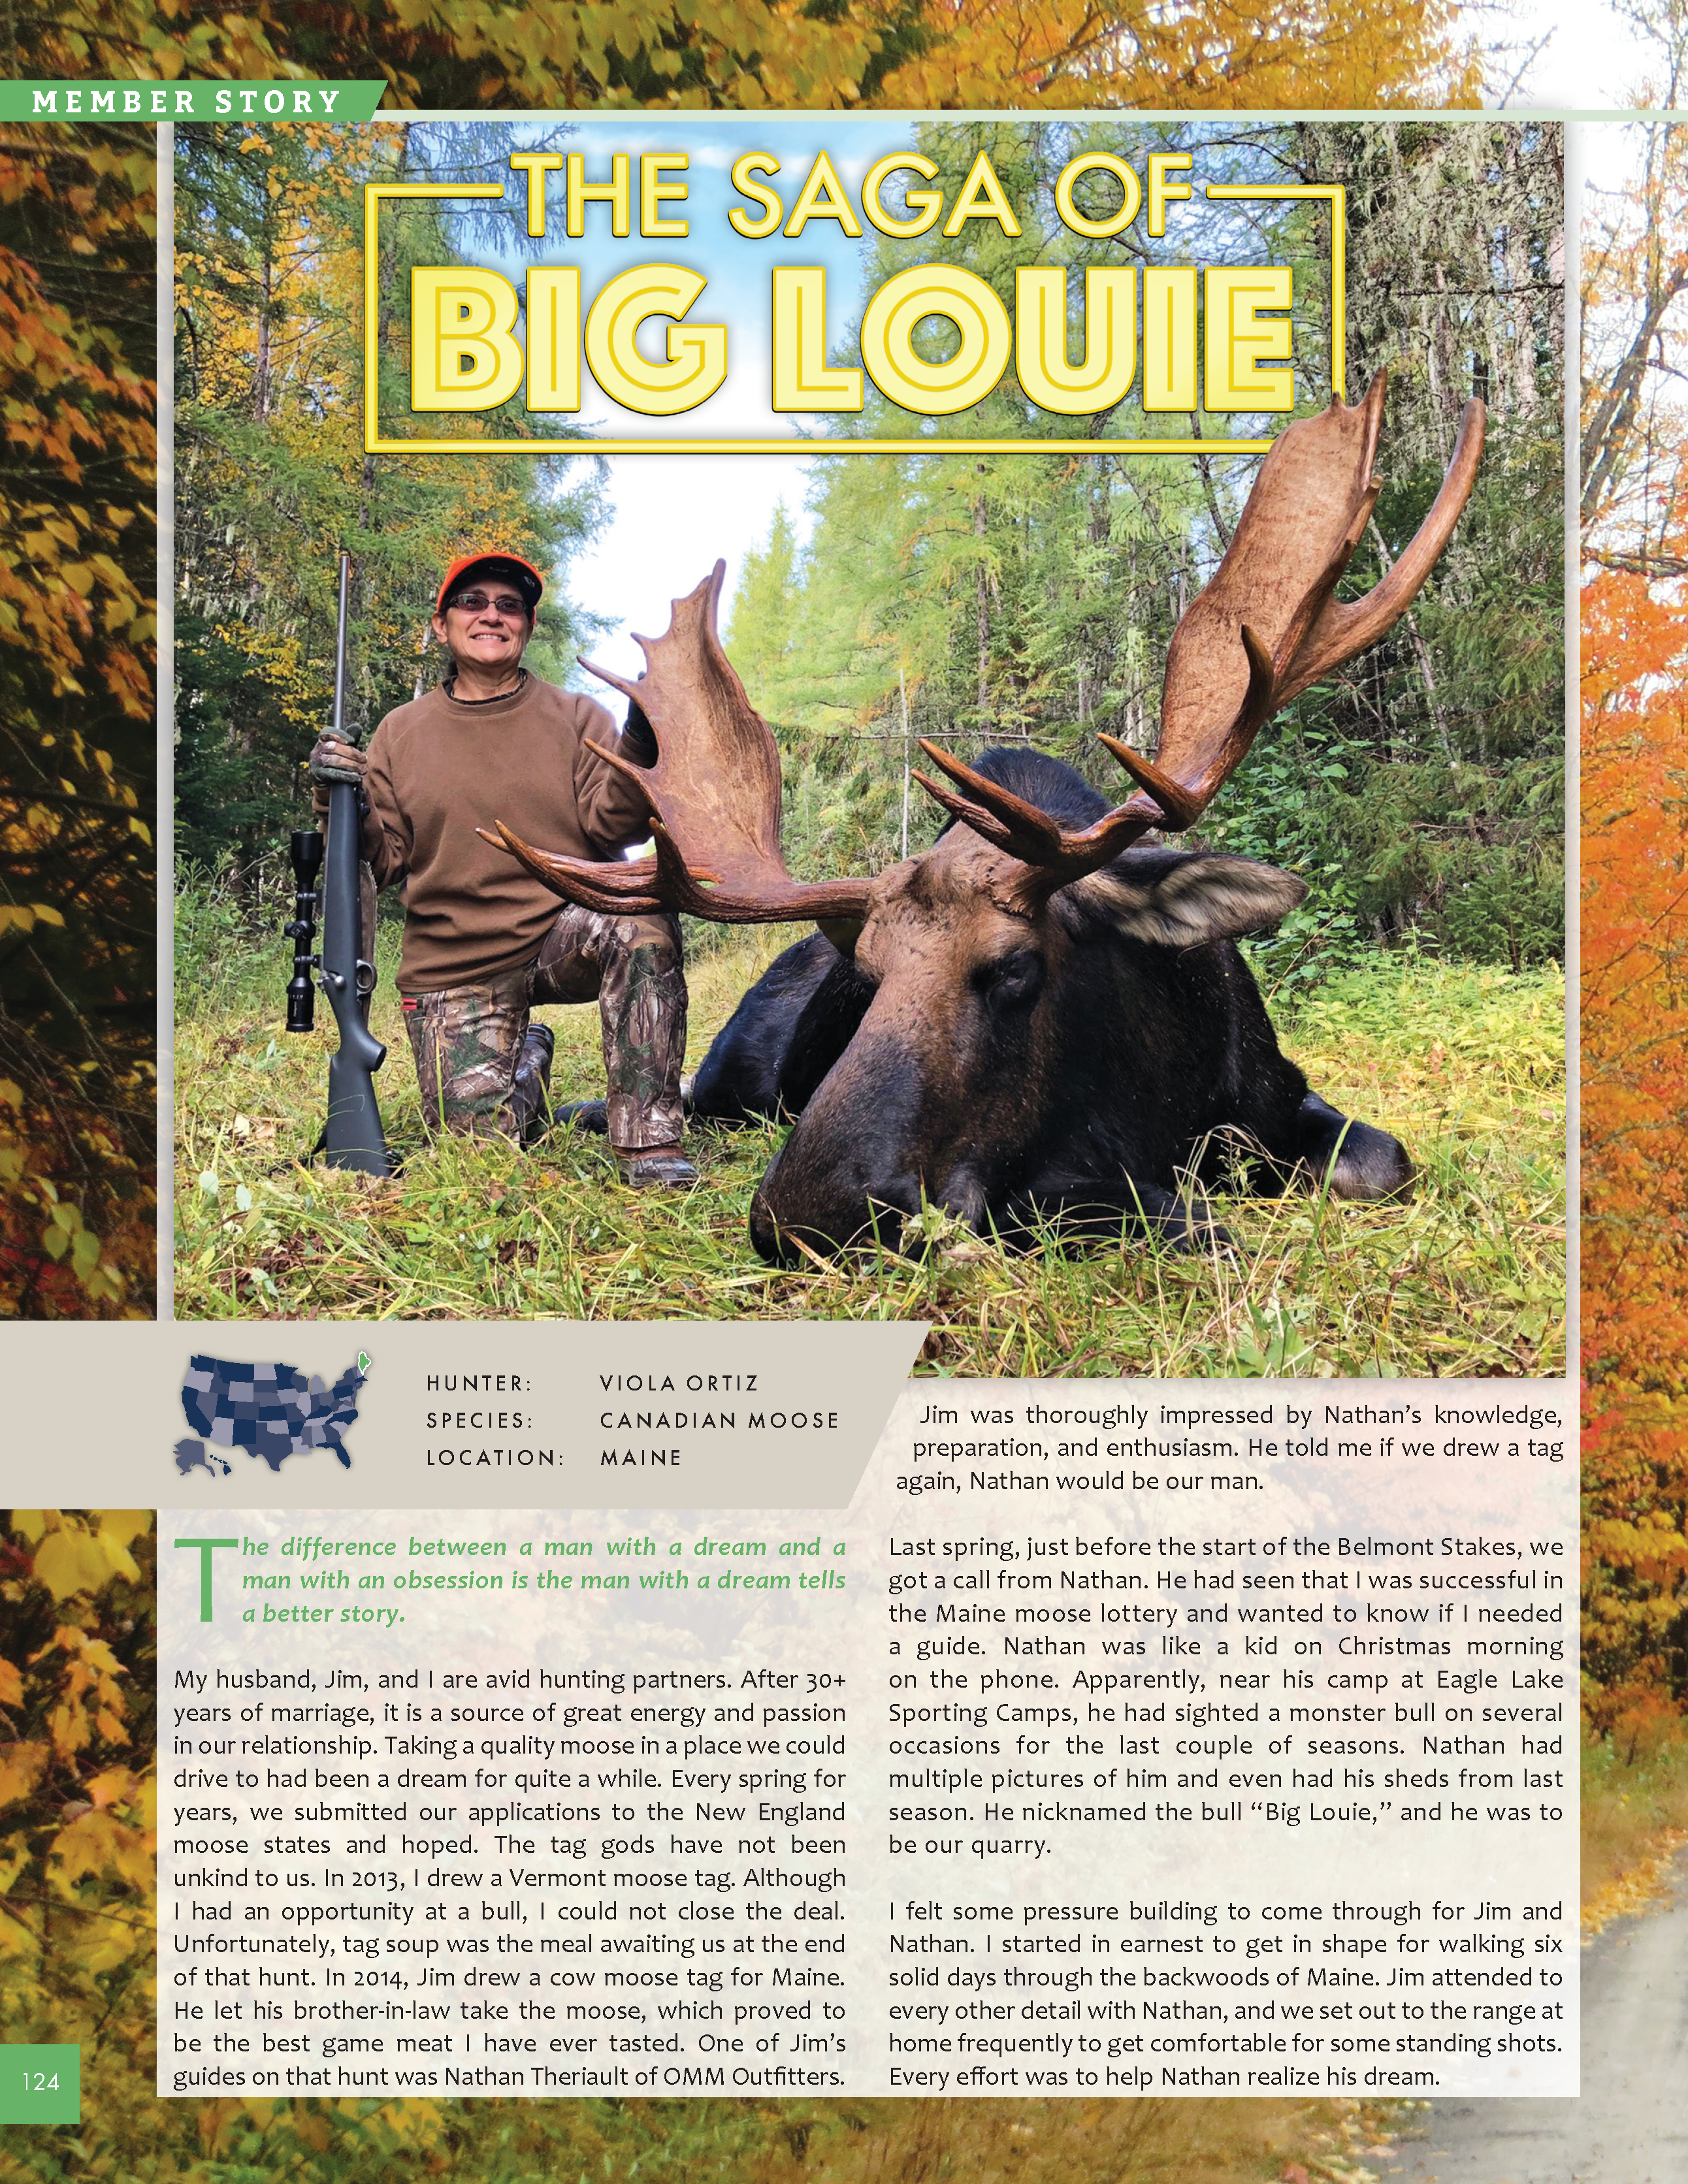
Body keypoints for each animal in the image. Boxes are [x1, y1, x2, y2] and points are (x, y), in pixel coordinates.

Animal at [485, 376, 1476, 1266]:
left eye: (1015, 967)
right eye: (867, 978)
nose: (808, 1214)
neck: (1166, 1095)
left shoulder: (1277, 1098)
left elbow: (1379, 1162)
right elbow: (1156, 1214)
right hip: (728, 1079)